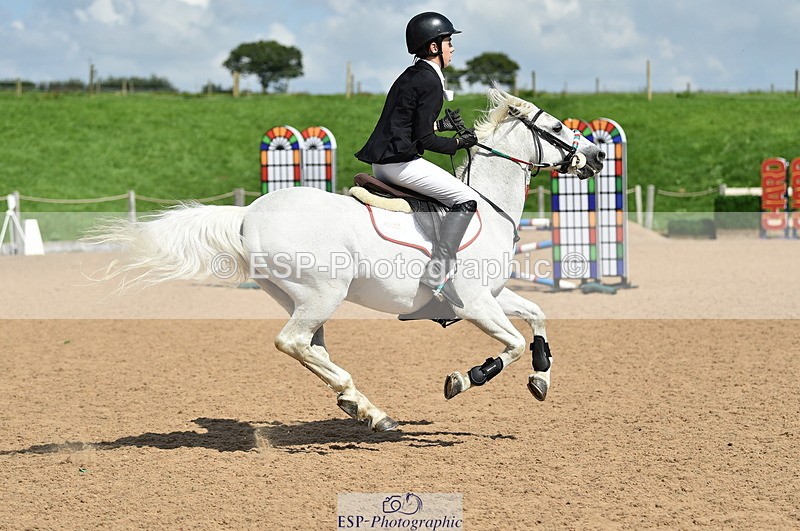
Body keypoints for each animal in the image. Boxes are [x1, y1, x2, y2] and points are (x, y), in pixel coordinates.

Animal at [87, 87, 604, 432]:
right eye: (556, 129)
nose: (598, 156)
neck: (490, 206)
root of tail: (248, 213)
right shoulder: (475, 303)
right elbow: (512, 344)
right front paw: (465, 378)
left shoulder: (493, 296)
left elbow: (537, 315)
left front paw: (541, 377)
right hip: (322, 294)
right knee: (292, 342)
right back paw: (368, 408)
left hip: (300, 297)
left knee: (312, 348)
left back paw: (361, 406)